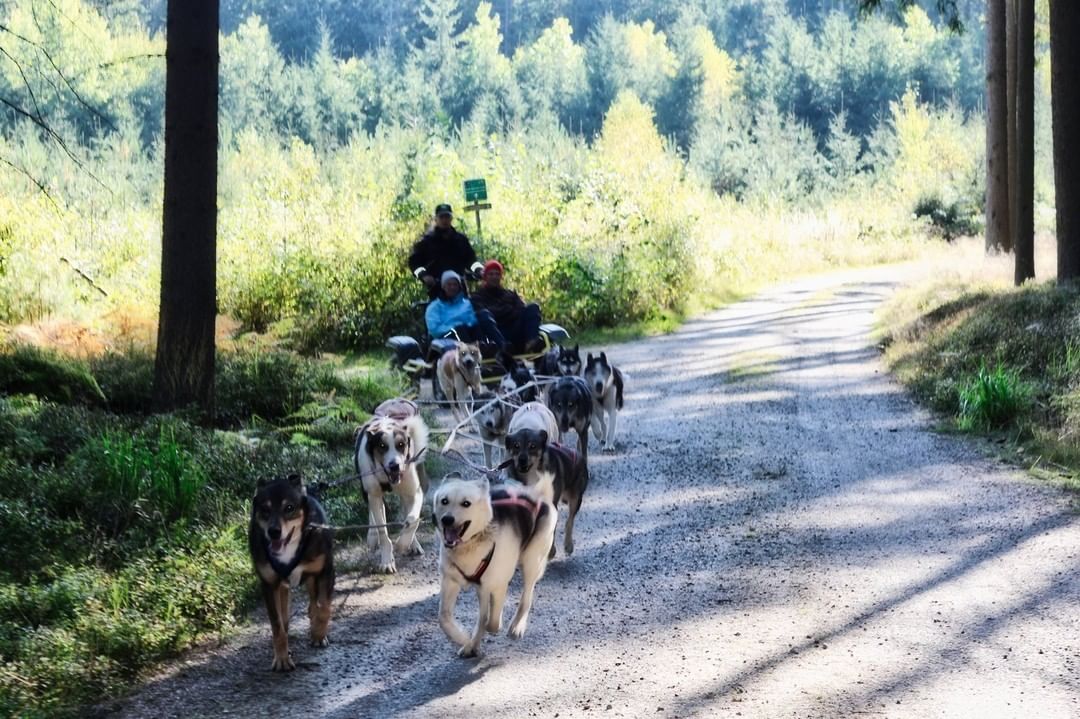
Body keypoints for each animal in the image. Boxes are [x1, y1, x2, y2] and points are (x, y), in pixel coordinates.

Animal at [248, 472, 332, 669]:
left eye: (289, 508)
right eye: (265, 509)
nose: (274, 532)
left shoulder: (326, 571)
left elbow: (324, 607)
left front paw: (319, 634)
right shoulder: (269, 585)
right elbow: (277, 625)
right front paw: (282, 658)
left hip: (311, 580)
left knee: (313, 603)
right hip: (283, 587)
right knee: (285, 617)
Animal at [349, 408, 425, 570]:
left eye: (401, 444)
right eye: (382, 446)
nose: (394, 466)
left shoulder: (414, 491)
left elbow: (413, 519)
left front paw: (403, 544)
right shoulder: (374, 494)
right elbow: (382, 530)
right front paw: (387, 561)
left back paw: (414, 544)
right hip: (366, 488)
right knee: (373, 511)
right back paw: (372, 536)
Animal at [427, 472, 552, 656]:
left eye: (466, 503)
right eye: (444, 501)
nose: (447, 519)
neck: (471, 543)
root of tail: (535, 492)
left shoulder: (493, 585)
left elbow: (488, 622)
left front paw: (478, 638)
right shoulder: (451, 581)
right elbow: (444, 618)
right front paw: (464, 640)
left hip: (531, 562)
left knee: (526, 596)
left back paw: (517, 625)